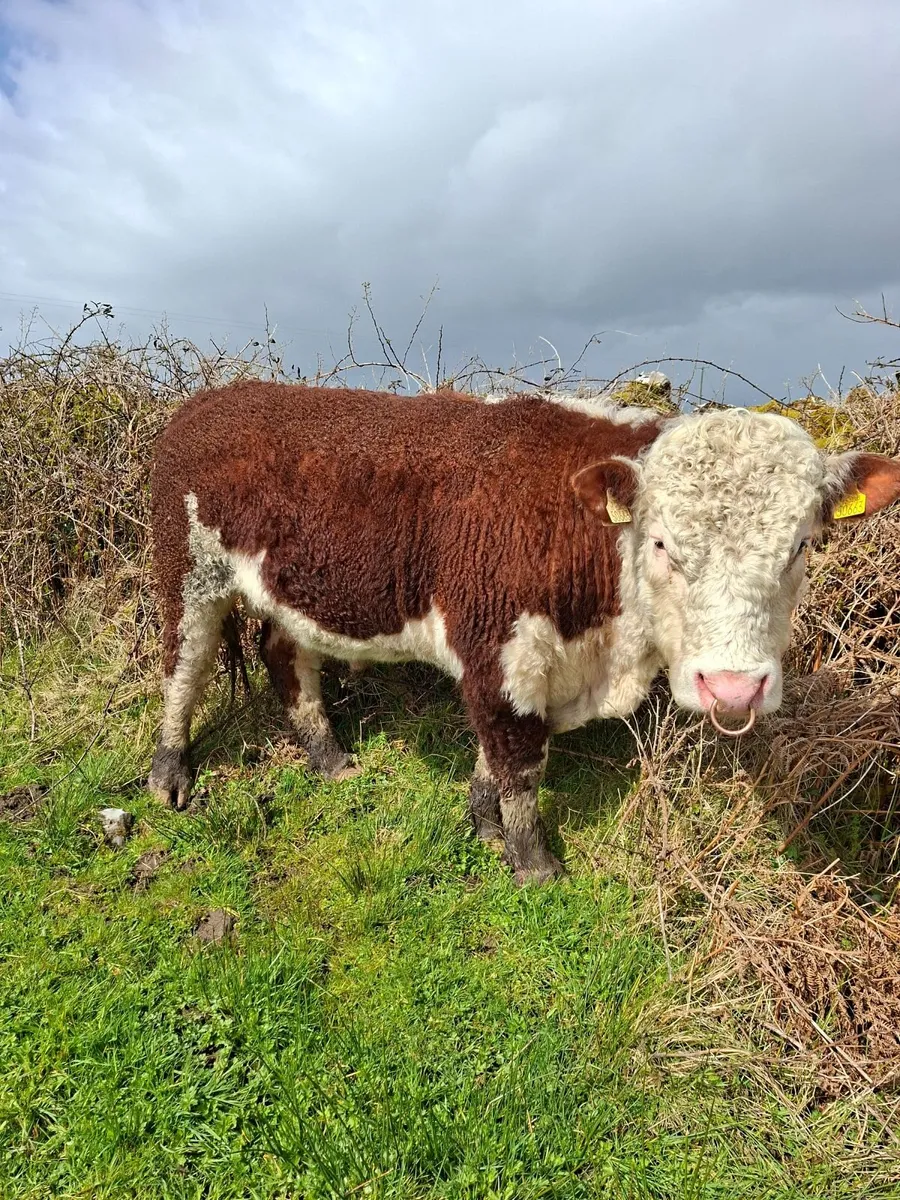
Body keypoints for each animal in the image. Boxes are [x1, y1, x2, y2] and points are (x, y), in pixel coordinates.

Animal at [147, 381, 900, 883]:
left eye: (801, 546)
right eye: (661, 543)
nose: (734, 688)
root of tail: (217, 396)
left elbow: (500, 753)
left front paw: (483, 824)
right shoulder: (499, 649)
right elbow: (518, 758)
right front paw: (533, 863)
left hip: (288, 587)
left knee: (284, 653)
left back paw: (330, 757)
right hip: (188, 568)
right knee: (184, 666)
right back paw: (169, 773)